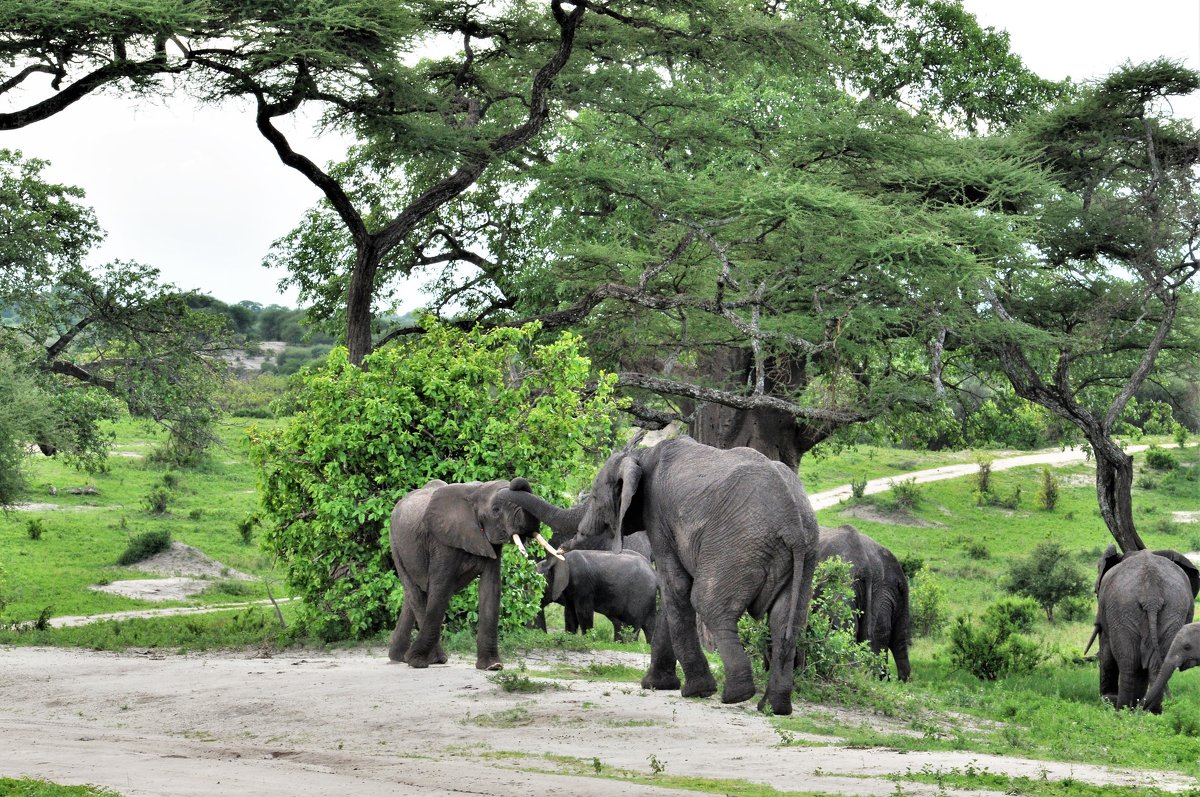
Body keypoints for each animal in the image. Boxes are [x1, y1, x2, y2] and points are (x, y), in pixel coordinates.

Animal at [391, 480, 559, 672]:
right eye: (496, 510)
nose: (516, 483)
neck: (476, 492)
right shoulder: (442, 541)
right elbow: (441, 589)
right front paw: (417, 662)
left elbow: (490, 588)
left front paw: (493, 666)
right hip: (396, 544)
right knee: (416, 593)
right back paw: (429, 659)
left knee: (412, 595)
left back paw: (399, 657)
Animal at [501, 436, 820, 715]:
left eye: (593, 497)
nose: (516, 483)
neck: (641, 455)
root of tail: (791, 522)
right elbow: (671, 597)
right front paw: (656, 685)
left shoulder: (659, 515)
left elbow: (676, 587)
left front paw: (695, 691)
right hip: (805, 554)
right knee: (786, 621)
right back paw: (774, 708)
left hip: (737, 547)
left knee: (709, 604)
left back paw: (735, 695)